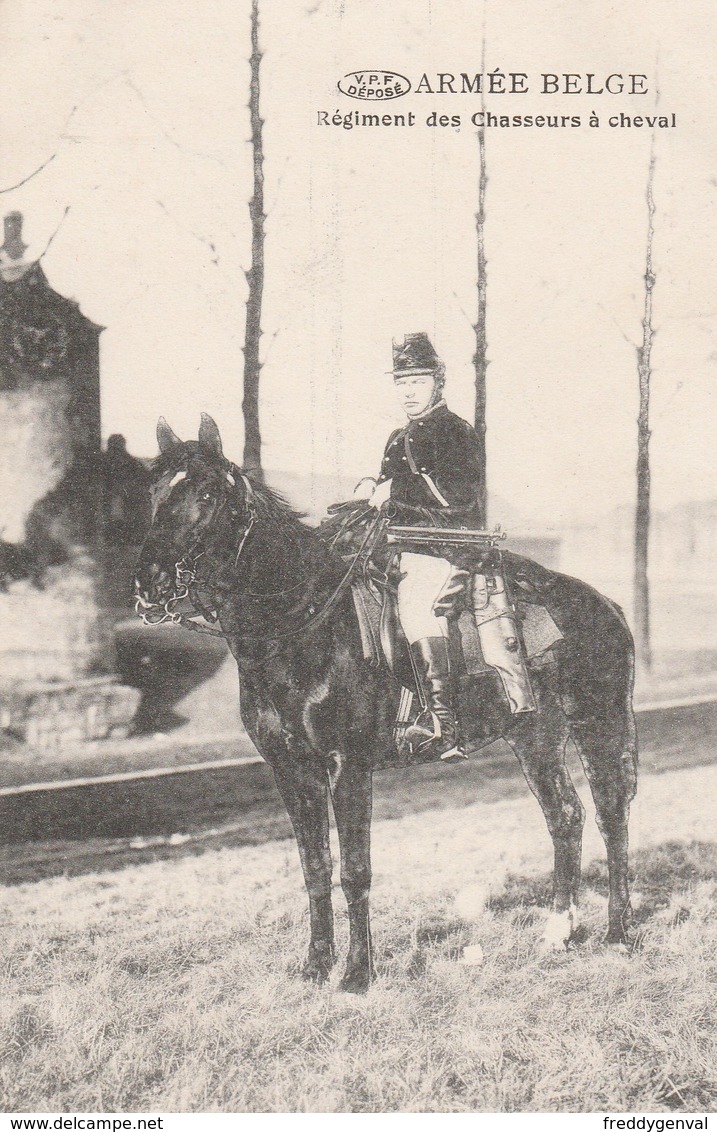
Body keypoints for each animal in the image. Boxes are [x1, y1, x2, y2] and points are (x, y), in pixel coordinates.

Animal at [135, 414, 638, 991]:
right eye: (154, 490)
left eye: (207, 493)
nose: (148, 582)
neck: (302, 621)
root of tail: (605, 603)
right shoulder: (291, 769)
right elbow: (314, 867)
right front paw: (316, 966)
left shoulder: (347, 765)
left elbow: (355, 870)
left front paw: (357, 973)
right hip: (533, 734)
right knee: (566, 816)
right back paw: (559, 932)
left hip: (596, 724)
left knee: (610, 813)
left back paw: (619, 933)